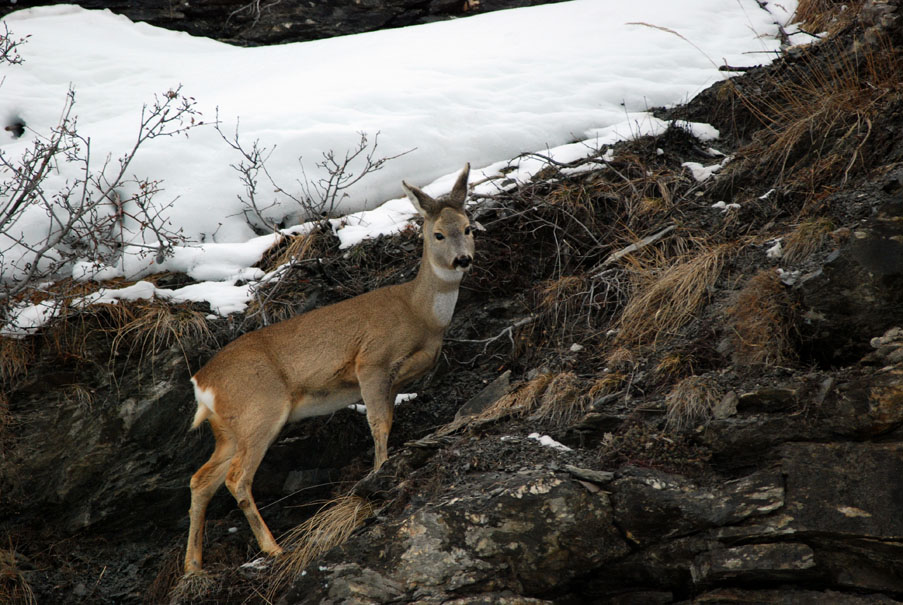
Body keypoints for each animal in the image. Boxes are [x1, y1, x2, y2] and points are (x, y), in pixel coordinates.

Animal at [185, 163, 480, 572]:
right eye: (438, 233)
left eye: (468, 227)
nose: (462, 260)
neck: (420, 315)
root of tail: (202, 383)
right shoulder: (371, 361)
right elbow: (379, 424)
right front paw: (378, 474)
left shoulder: (392, 381)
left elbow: (387, 420)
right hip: (260, 409)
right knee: (236, 478)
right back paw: (273, 548)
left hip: (229, 428)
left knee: (201, 479)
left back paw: (192, 567)